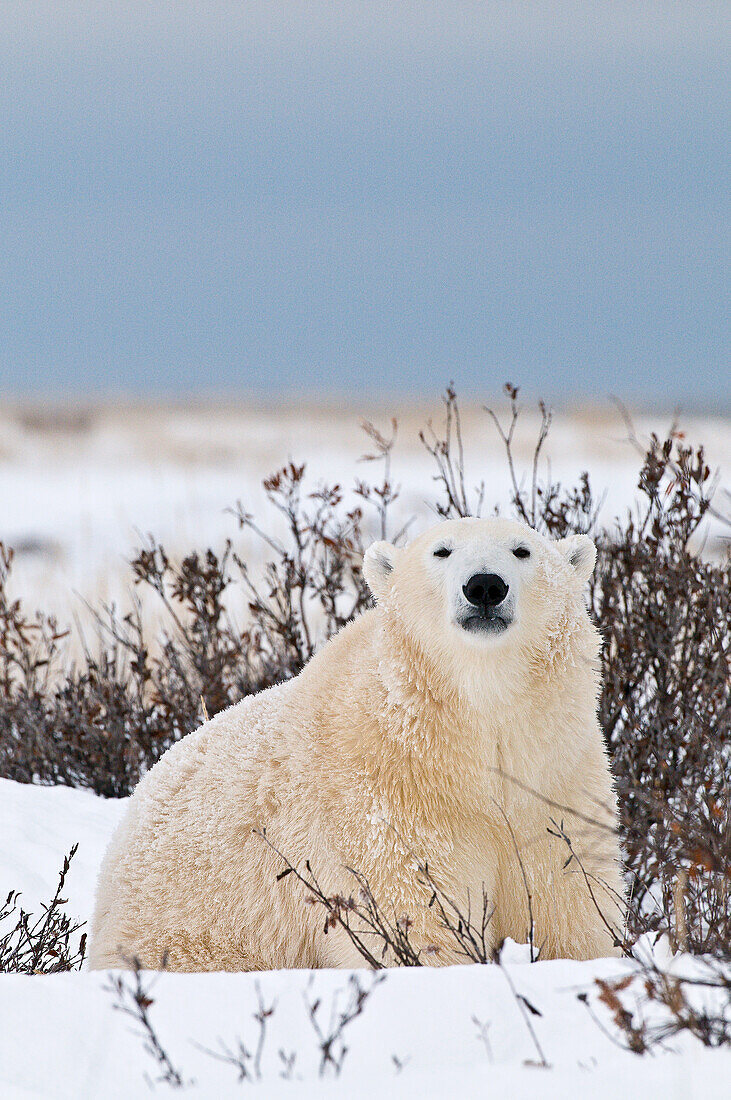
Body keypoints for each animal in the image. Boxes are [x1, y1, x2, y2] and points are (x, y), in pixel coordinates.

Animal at [85, 517, 619, 972]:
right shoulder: (386, 796)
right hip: (192, 934)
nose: (485, 585)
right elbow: (415, 915)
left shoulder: (553, 778)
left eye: (522, 549)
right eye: (442, 550)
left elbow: (568, 899)